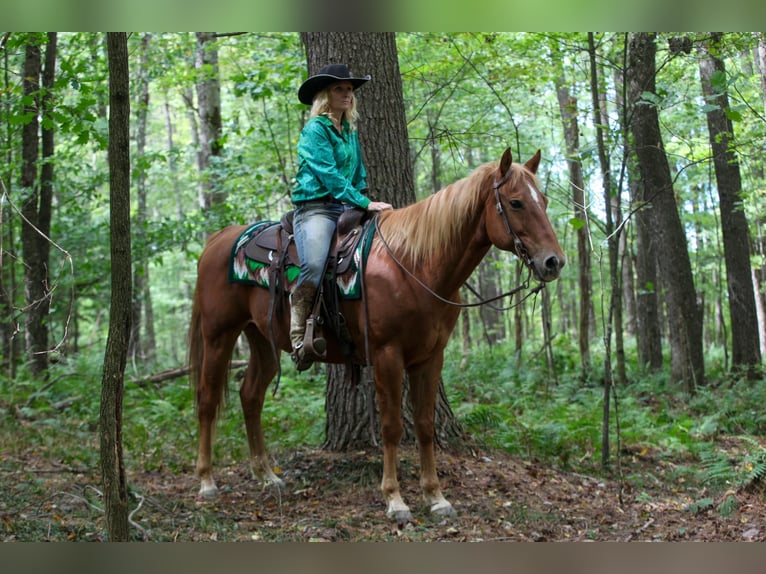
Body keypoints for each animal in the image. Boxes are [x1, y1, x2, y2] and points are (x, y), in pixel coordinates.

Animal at [188, 148, 565, 521]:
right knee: (207, 399)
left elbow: (425, 424)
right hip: (219, 335)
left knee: (251, 395)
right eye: (516, 203)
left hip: (261, 338)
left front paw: (435, 496)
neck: (415, 266)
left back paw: (266, 475)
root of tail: (218, 239)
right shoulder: (387, 355)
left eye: (544, 200)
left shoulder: (431, 357)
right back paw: (206, 481)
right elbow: (392, 426)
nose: (554, 262)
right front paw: (395, 499)